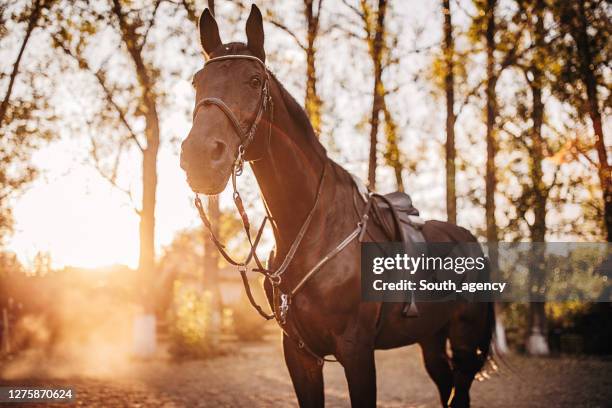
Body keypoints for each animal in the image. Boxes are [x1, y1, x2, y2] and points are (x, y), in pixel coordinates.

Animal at [179, 4, 494, 406]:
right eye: (197, 82)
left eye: (253, 80)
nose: (201, 157)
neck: (311, 228)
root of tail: (470, 240)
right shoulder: (300, 355)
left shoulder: (356, 352)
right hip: (431, 339)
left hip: (466, 344)